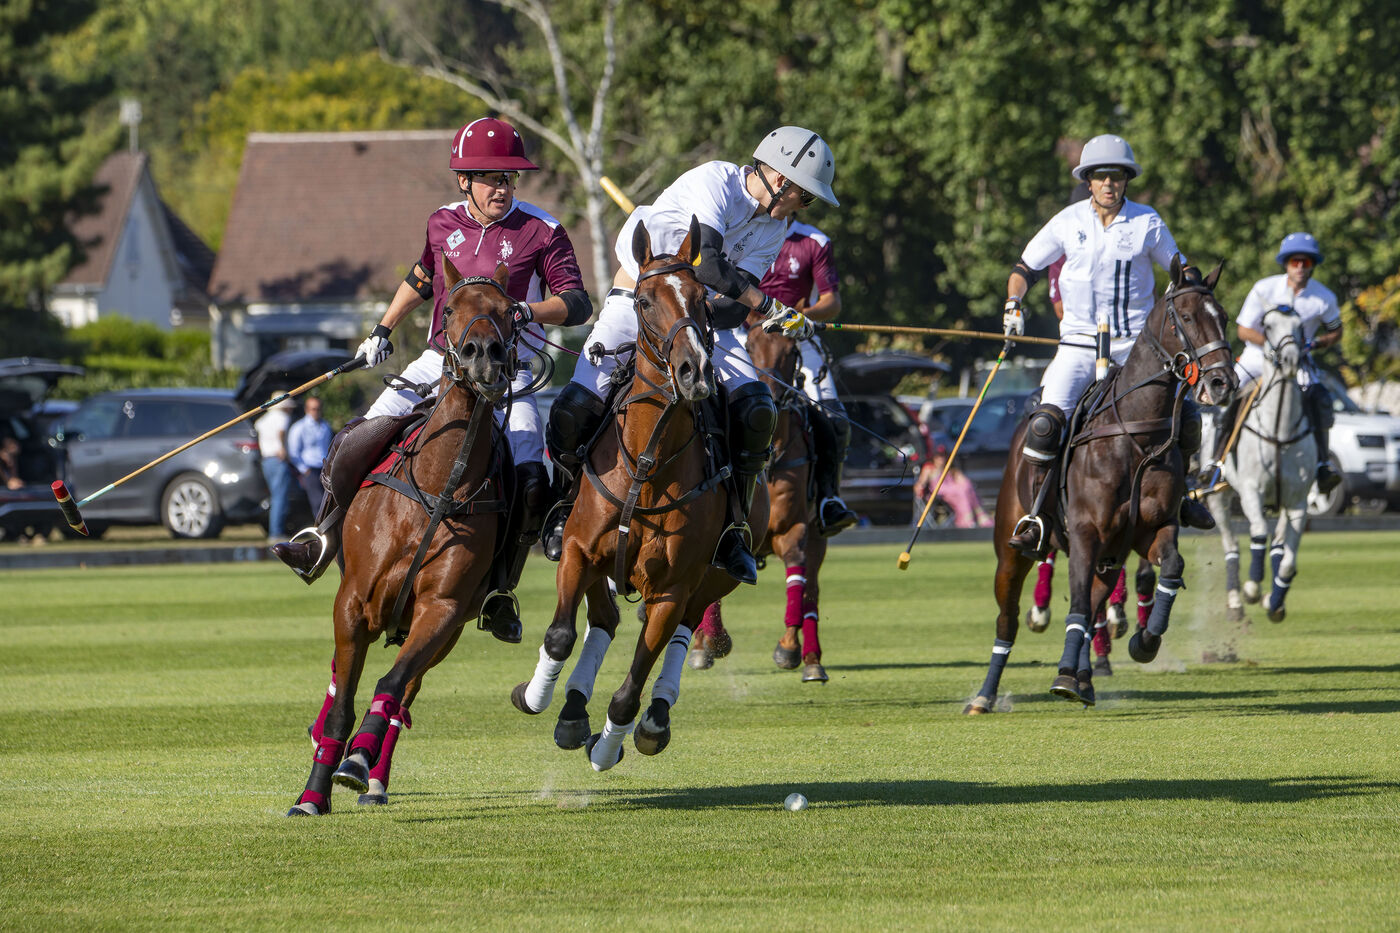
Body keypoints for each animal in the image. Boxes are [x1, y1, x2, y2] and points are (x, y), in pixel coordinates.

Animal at [287, 259, 516, 816]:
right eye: (450, 309)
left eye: (510, 311)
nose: (483, 357)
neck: (438, 487)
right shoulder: (353, 601)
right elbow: (343, 699)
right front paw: (313, 794)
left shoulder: (443, 609)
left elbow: (391, 686)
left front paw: (356, 761)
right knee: (340, 678)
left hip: (443, 633)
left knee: (404, 693)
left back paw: (372, 775)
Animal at [510, 217, 769, 770]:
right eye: (646, 301)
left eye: (703, 299)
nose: (694, 371)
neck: (649, 462)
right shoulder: (579, 551)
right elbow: (561, 635)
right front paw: (536, 696)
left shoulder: (673, 587)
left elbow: (630, 688)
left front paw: (610, 745)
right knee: (603, 620)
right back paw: (570, 711)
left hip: (714, 578)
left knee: (682, 630)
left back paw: (653, 720)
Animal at [690, 318, 830, 683]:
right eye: (750, 347)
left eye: (792, 351)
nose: (770, 390)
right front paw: (708, 643)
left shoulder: (794, 529)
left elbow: (797, 575)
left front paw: (788, 647)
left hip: (819, 535)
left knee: (812, 591)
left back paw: (812, 658)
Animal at [966, 258, 1237, 714]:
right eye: (1184, 318)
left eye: (1224, 318)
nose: (1222, 383)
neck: (1135, 434)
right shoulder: (1085, 534)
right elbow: (1075, 604)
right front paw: (1062, 677)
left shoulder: (1151, 529)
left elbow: (1170, 568)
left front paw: (1145, 642)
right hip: (1011, 548)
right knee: (1009, 618)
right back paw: (985, 696)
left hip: (1110, 558)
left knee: (1095, 607)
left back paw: (1086, 679)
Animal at [1205, 306, 1315, 623]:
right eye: (1267, 326)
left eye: (1300, 326)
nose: (1290, 361)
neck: (1279, 429)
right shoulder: (1251, 491)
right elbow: (1258, 534)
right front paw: (1252, 588)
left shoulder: (1298, 501)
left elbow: (1288, 561)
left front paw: (1274, 601)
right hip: (1218, 498)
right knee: (1231, 545)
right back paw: (1235, 601)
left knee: (1277, 544)